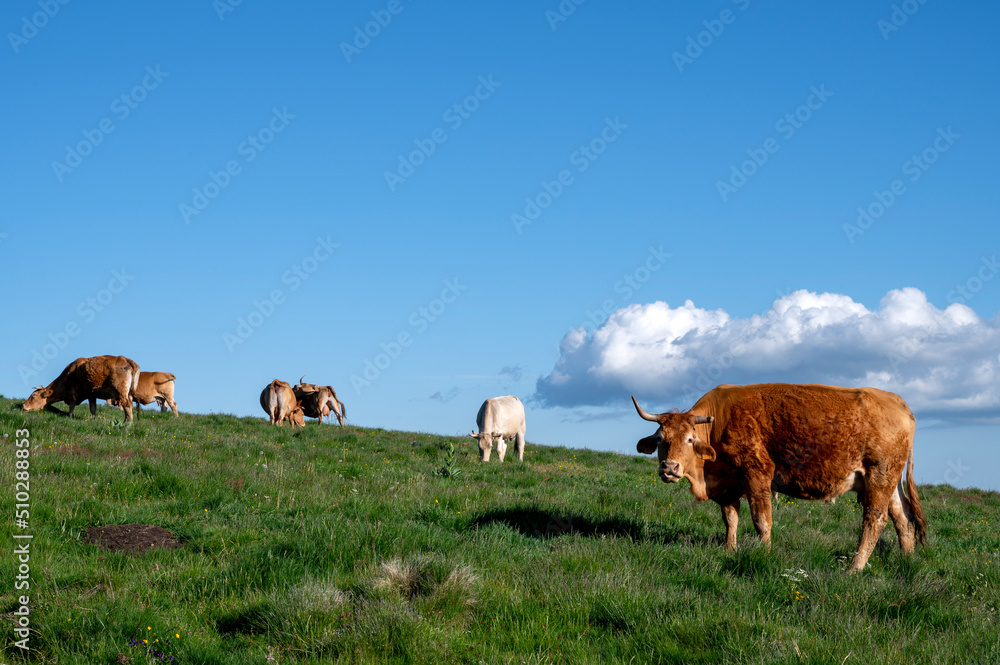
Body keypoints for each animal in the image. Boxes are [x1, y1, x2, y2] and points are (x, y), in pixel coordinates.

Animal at [632, 384, 928, 572]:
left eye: (690, 440)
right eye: (660, 439)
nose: (670, 467)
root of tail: (897, 402)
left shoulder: (757, 474)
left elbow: (762, 521)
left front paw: (763, 554)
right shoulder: (730, 484)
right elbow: (731, 520)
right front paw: (730, 551)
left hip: (879, 476)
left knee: (874, 521)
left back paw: (854, 568)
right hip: (889, 482)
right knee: (903, 519)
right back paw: (907, 561)